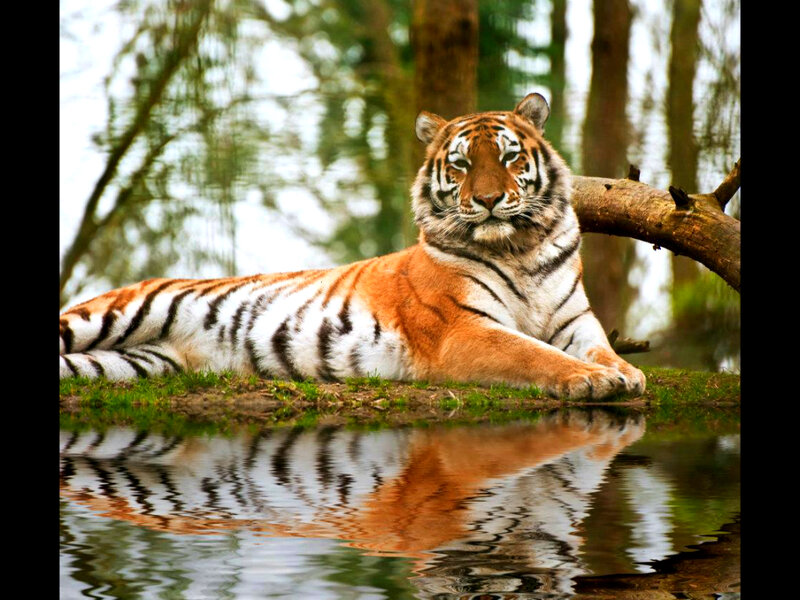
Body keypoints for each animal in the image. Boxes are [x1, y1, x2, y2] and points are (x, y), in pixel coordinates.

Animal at [59, 93, 645, 399]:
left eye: (508, 157)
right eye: (460, 164)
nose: (487, 200)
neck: (518, 250)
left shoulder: (574, 321)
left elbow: (598, 346)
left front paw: (624, 371)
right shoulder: (463, 329)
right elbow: (531, 353)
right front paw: (593, 380)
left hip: (134, 364)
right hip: (112, 314)